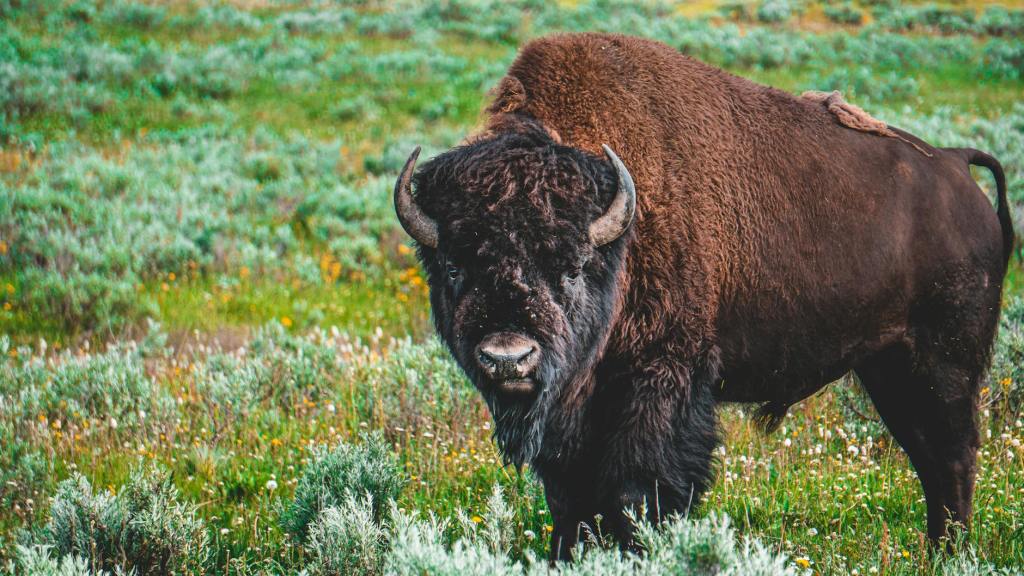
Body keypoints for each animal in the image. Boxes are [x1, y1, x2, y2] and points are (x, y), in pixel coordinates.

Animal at [393, 33, 1014, 559]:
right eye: (454, 266)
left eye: (570, 268)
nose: (508, 357)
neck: (621, 236)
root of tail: (956, 167)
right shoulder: (572, 417)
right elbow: (569, 500)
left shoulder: (661, 382)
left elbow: (636, 494)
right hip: (887, 367)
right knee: (930, 455)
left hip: (943, 361)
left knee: (953, 454)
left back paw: (951, 553)